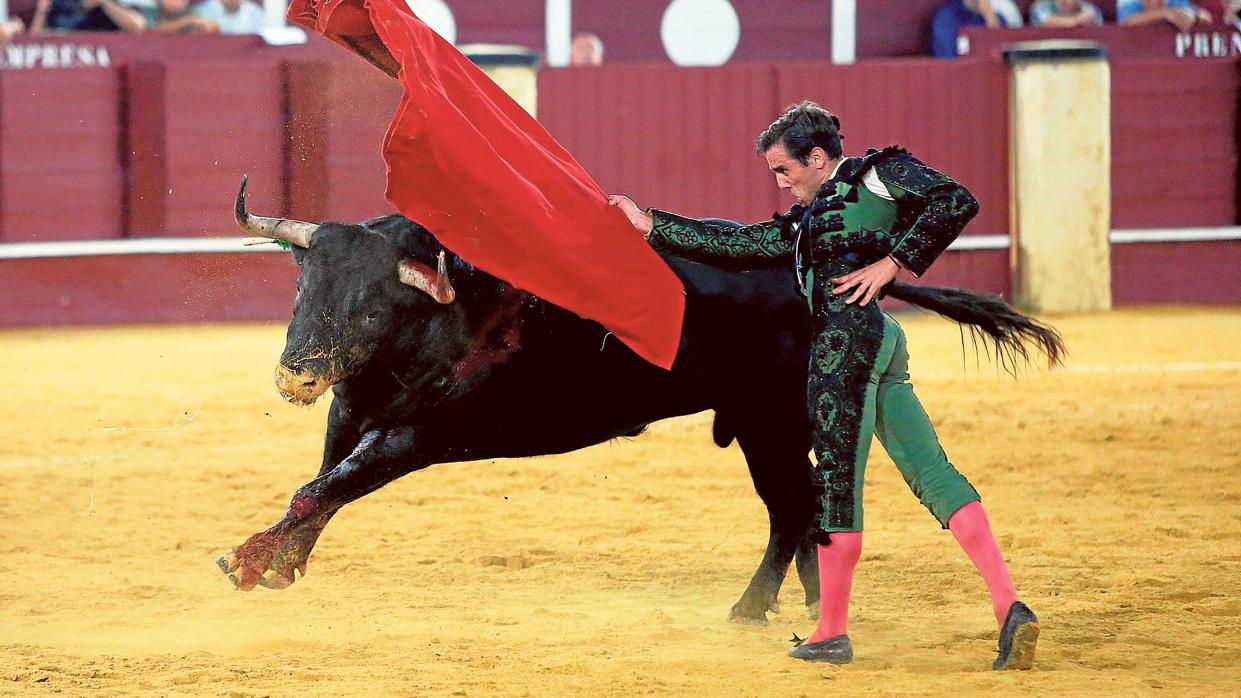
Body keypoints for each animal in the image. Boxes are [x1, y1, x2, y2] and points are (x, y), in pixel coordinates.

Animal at [218, 180, 1062, 625]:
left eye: (369, 309)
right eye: (301, 290)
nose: (295, 377)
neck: (435, 314)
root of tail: (822, 272)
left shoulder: (419, 434)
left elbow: (322, 489)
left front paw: (248, 561)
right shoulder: (350, 415)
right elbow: (320, 488)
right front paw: (279, 564)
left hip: (770, 419)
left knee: (791, 507)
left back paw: (752, 608)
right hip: (769, 422)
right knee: (802, 508)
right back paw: (801, 602)